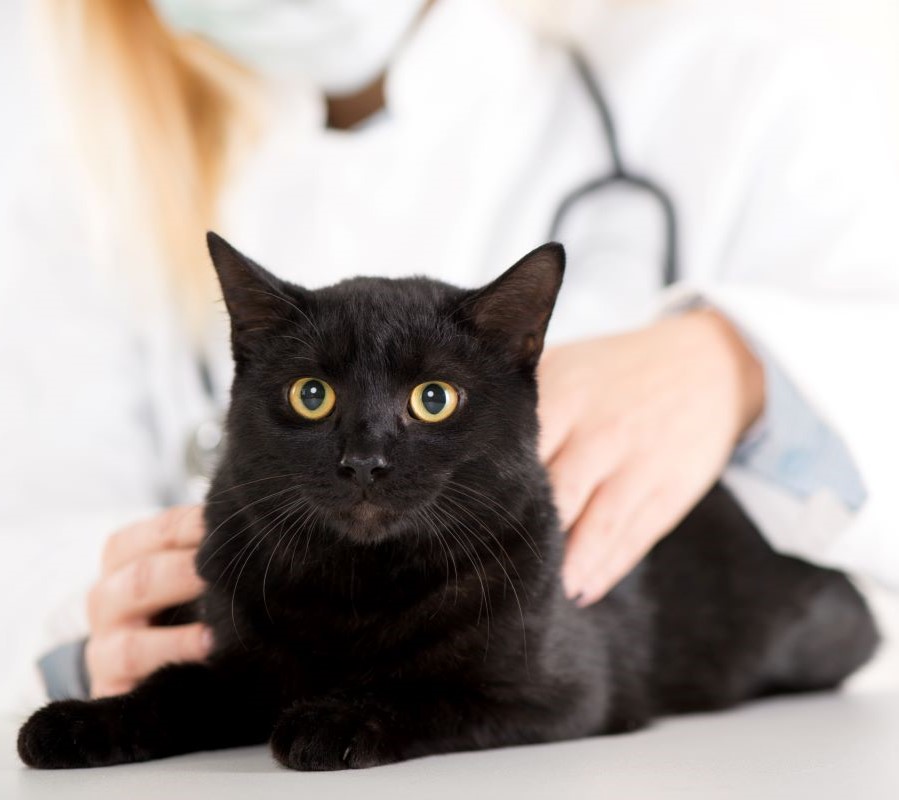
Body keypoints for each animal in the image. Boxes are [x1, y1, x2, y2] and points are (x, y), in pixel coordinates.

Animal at [19, 236, 880, 768]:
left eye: (433, 399)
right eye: (310, 394)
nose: (363, 461)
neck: (355, 591)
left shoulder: (556, 692)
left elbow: (426, 692)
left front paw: (333, 720)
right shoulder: (244, 664)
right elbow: (174, 685)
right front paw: (78, 722)